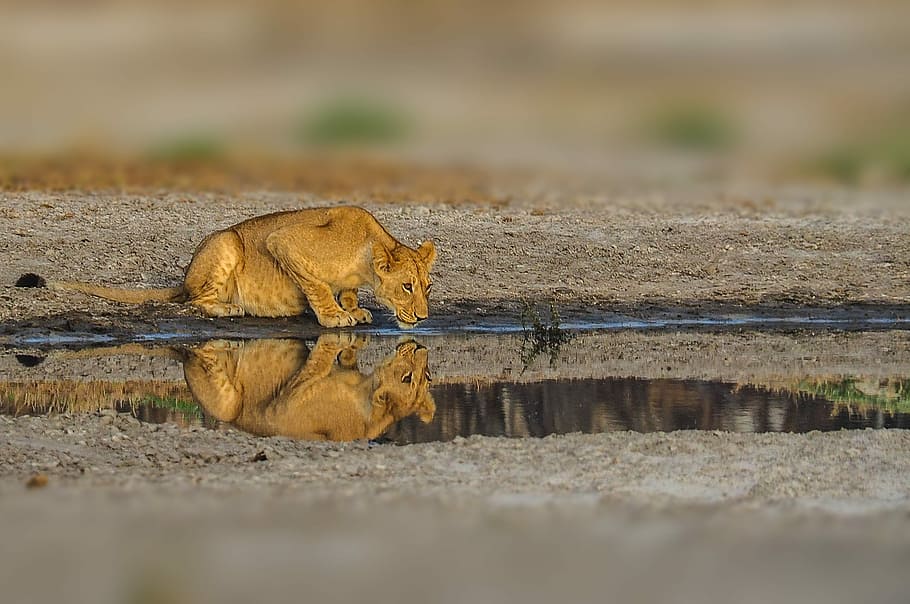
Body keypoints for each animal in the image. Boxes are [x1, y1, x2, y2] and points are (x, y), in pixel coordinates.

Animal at [16, 206, 436, 328]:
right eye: (407, 287)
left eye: (427, 287)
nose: (423, 318)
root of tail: (185, 275)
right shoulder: (283, 240)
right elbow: (316, 285)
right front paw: (334, 316)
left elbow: (345, 291)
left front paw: (354, 307)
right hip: (226, 242)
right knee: (194, 300)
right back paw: (231, 307)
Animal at [182, 334, 435, 441]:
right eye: (426, 376)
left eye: (407, 377)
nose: (421, 348)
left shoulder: (284, 404)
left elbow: (317, 361)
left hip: (226, 406)